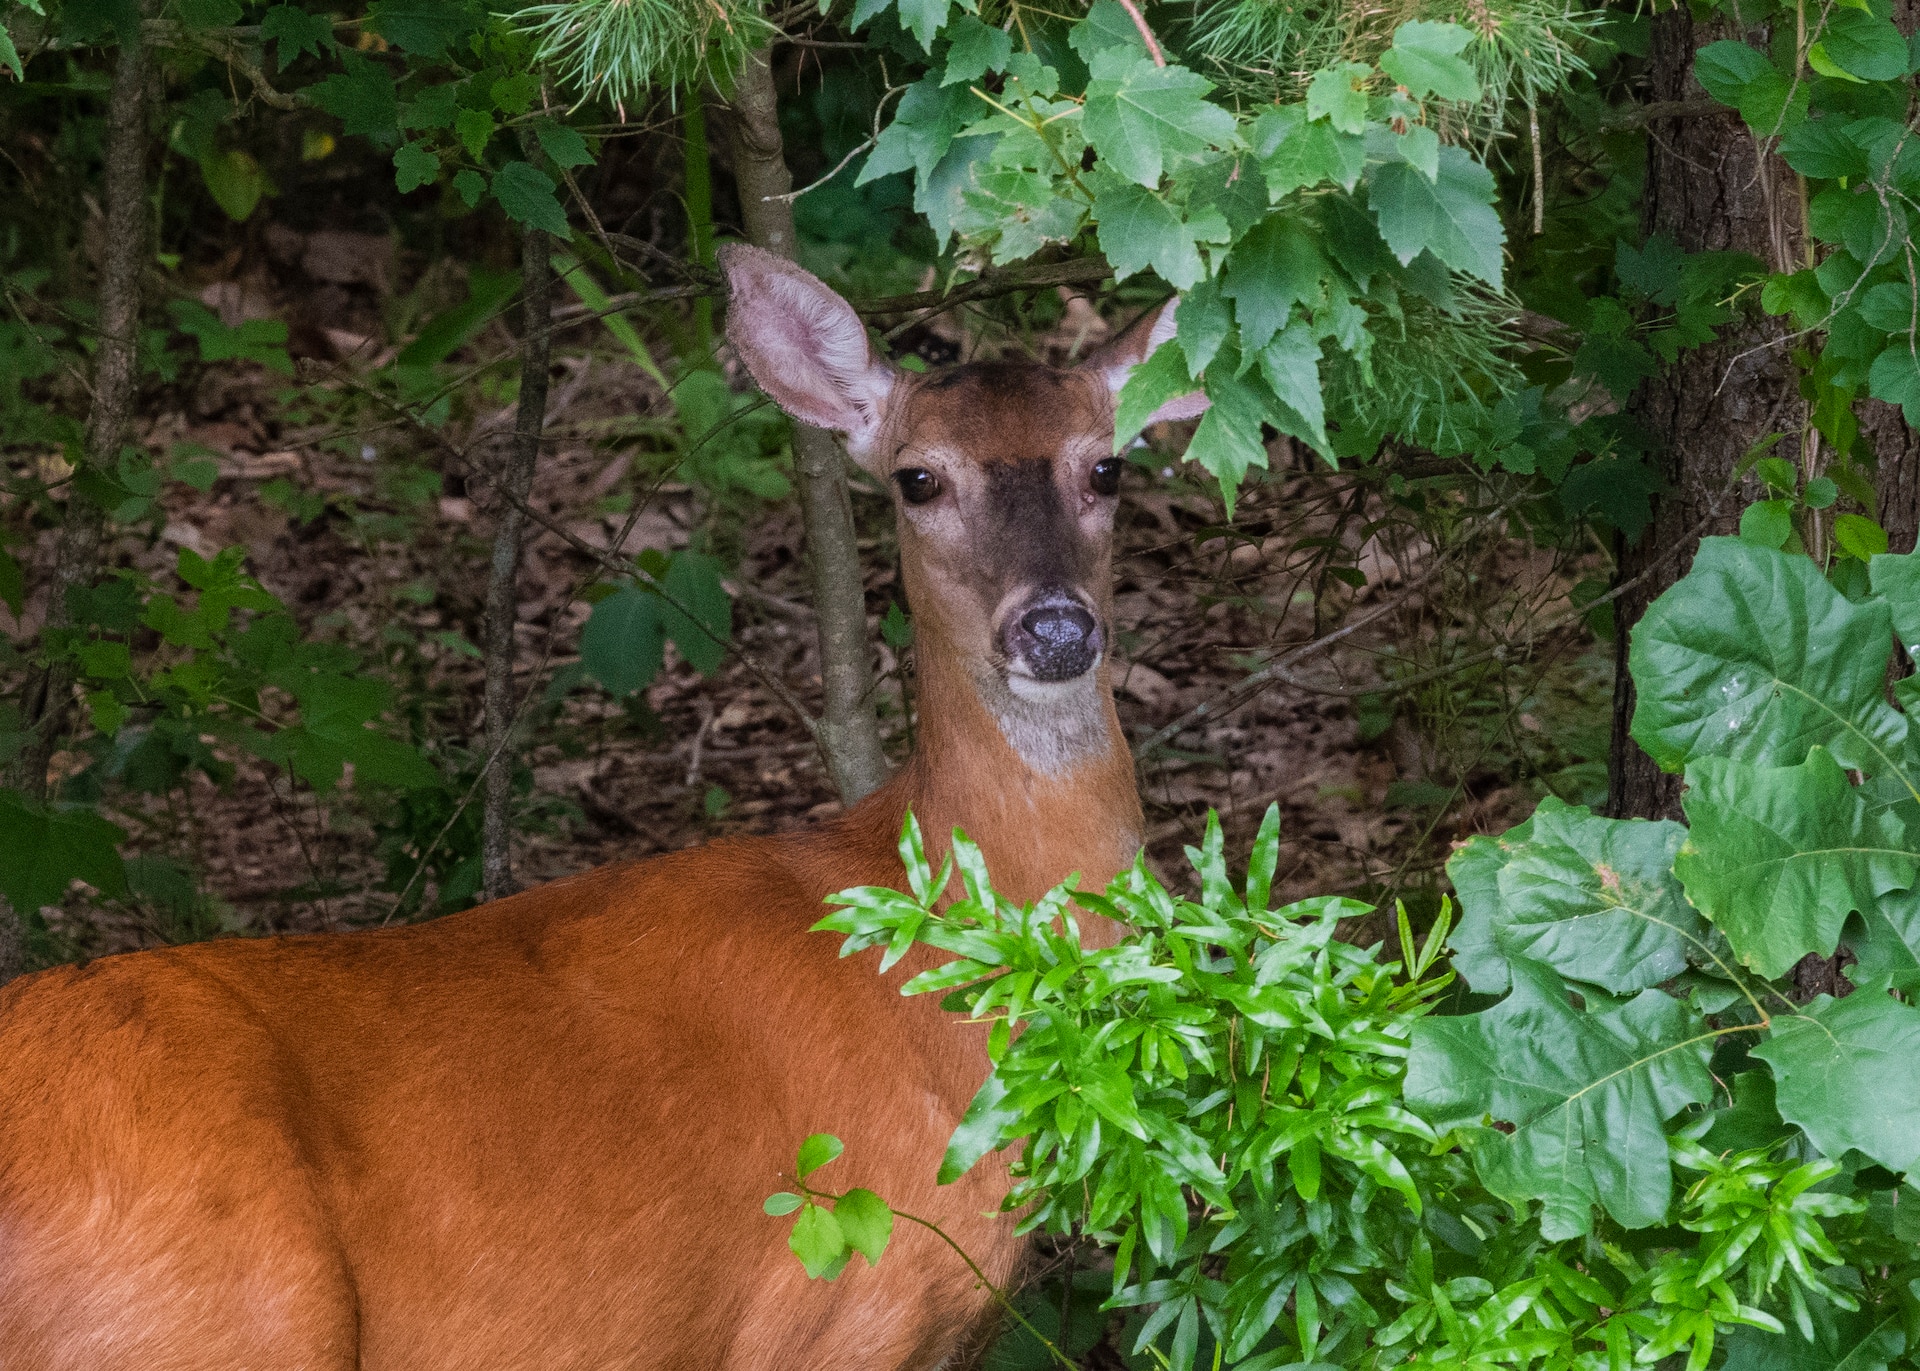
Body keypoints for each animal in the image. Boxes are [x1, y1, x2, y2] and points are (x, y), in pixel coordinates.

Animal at [0, 245, 1205, 1367]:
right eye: (917, 478)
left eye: (1106, 465)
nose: (1054, 626)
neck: (937, 968)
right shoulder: (840, 1310)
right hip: (211, 1318)